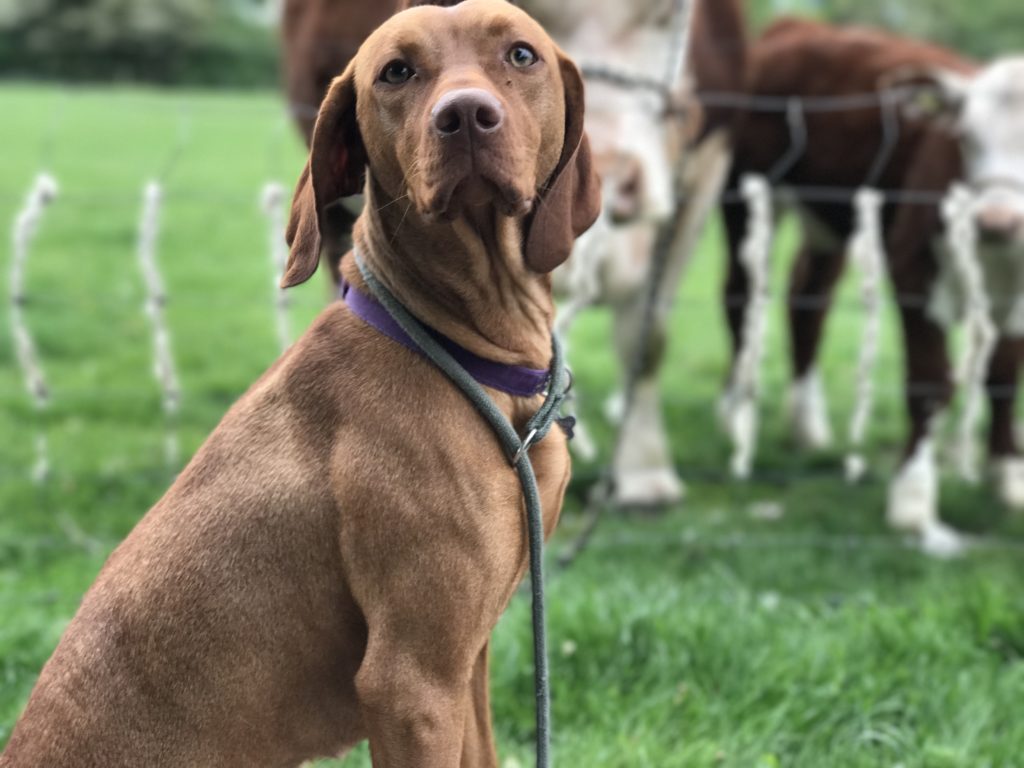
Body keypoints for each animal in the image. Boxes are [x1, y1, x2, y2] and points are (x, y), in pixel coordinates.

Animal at [0, 3, 598, 765]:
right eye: (395, 71)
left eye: (522, 54)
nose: (466, 115)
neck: (471, 357)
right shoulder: (410, 680)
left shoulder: (467, 657)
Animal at [280, 0, 745, 507]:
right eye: (397, 70)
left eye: (522, 53)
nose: (613, 174)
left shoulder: (702, 174)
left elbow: (646, 339)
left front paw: (644, 473)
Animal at [720, 16, 1024, 548]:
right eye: (966, 137)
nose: (997, 221)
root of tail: (799, 25)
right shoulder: (913, 269)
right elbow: (929, 382)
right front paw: (913, 503)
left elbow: (1005, 377)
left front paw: (1006, 479)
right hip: (745, 198)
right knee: (742, 302)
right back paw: (739, 409)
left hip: (827, 220)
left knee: (808, 300)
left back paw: (807, 427)